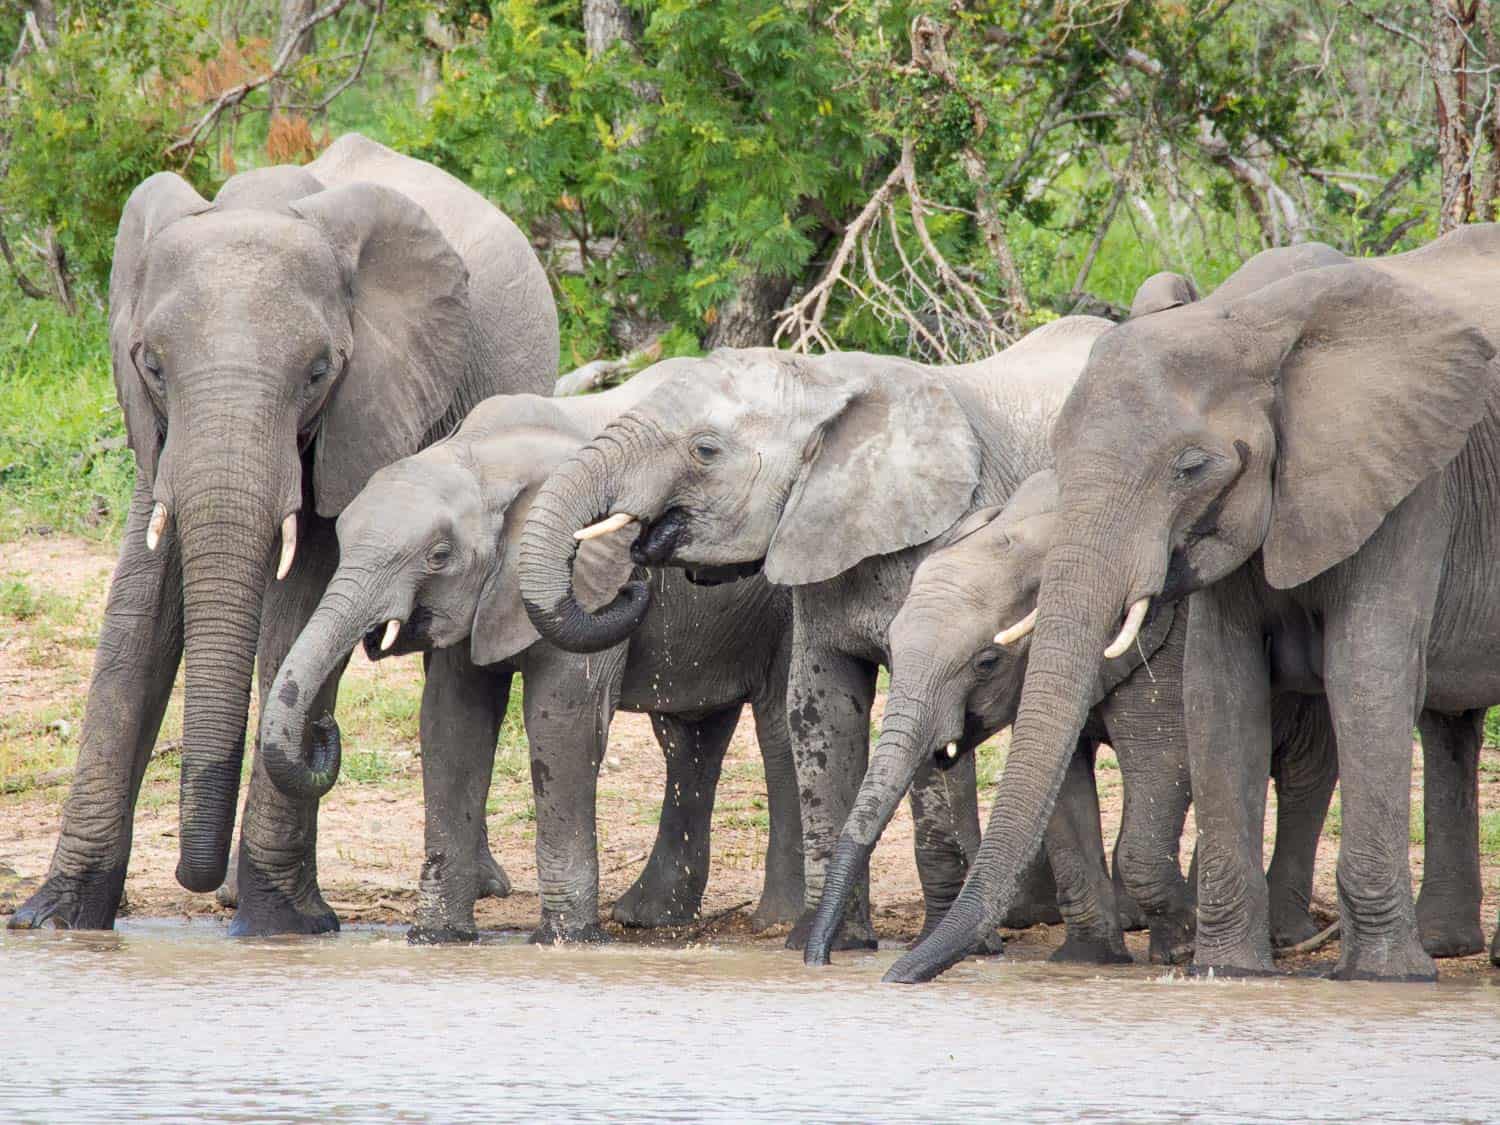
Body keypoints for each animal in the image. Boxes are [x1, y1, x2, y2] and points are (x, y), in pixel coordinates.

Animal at [7, 136, 558, 936]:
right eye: (152, 365)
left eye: (319, 371)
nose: (193, 876)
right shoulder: (155, 437)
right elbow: (136, 624)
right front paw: (56, 916)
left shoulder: (365, 412)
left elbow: (301, 605)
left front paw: (277, 924)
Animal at [255, 370, 810, 942]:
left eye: (439, 556)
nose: (324, 728)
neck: (481, 460)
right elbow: (451, 724)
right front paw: (438, 937)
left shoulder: (588, 574)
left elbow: (560, 722)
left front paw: (567, 940)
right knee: (689, 738)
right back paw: (650, 917)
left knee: (778, 730)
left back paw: (777, 922)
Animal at [516, 319, 1158, 960]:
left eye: (705, 450)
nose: (631, 583)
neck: (828, 383)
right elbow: (819, 714)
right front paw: (826, 943)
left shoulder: (951, 540)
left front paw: (952, 944)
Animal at [810, 471, 1350, 972]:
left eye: (987, 662)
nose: (820, 960)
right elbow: (1064, 794)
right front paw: (1091, 959)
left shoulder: (1166, 641)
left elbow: (1162, 762)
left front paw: (1177, 948)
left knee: (1303, 775)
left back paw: (1281, 935)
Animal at [888, 229, 1500, 984]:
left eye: (1189, 469)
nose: (893, 975)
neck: (1251, 323)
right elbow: (1219, 689)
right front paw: (1229, 972)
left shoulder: (1411, 481)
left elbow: (1365, 673)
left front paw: (1381, 979)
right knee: (1447, 726)